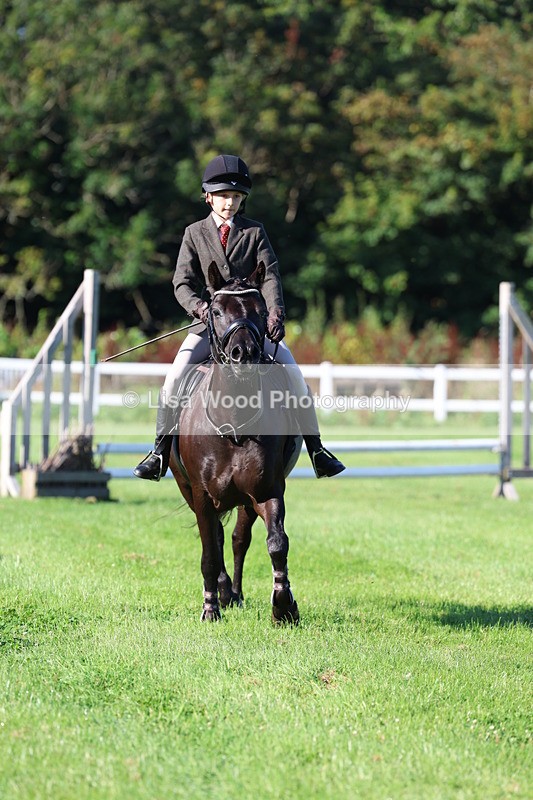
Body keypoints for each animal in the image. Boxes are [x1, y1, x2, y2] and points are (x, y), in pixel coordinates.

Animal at [168, 262, 301, 624]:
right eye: (215, 310)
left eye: (262, 311)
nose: (245, 354)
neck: (235, 419)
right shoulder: (201, 496)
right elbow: (209, 553)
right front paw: (210, 608)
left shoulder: (267, 490)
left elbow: (276, 543)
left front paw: (284, 606)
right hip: (189, 489)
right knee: (215, 539)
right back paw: (224, 592)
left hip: (244, 500)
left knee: (240, 539)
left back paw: (236, 594)